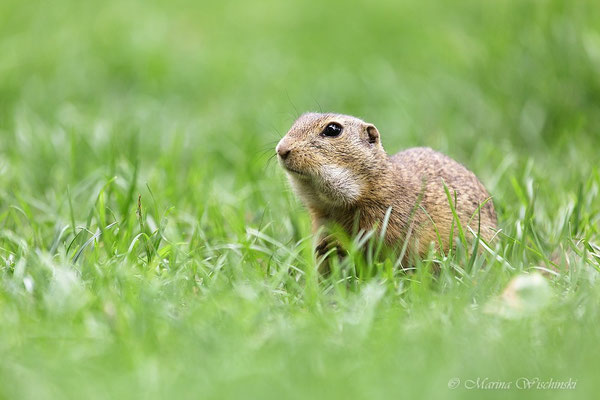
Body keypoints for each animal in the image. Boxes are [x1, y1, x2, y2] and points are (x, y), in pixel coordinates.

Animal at [276, 112, 496, 264]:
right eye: (298, 121)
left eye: (332, 129)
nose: (281, 149)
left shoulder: (391, 216)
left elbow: (377, 241)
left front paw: (338, 244)